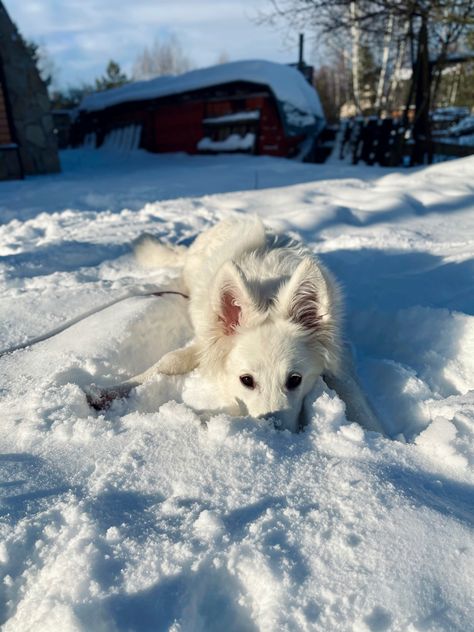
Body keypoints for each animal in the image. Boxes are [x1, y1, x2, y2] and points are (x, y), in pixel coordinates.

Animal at [130, 215, 344, 432]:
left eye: (295, 380)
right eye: (246, 380)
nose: (273, 435)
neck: (268, 295)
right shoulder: (206, 342)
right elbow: (169, 361)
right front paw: (125, 384)